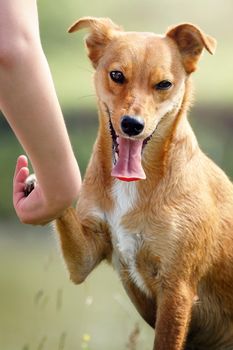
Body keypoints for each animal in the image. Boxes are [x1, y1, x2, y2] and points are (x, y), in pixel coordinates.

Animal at [53, 18, 233, 350]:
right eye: (116, 75)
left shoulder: (177, 290)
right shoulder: (85, 256)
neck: (135, 185)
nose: (132, 125)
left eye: (164, 84)